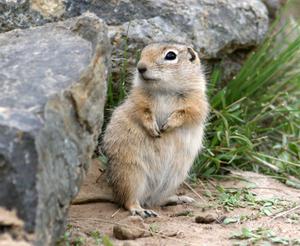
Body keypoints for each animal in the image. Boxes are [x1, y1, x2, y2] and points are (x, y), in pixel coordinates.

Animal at [103, 42, 209, 217]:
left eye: (171, 55)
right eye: (143, 52)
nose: (140, 67)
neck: (164, 90)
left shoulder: (196, 103)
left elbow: (186, 113)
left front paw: (167, 126)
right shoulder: (137, 100)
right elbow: (142, 112)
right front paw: (154, 129)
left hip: (172, 179)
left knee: (156, 200)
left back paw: (180, 199)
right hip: (131, 174)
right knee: (129, 201)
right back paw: (141, 210)